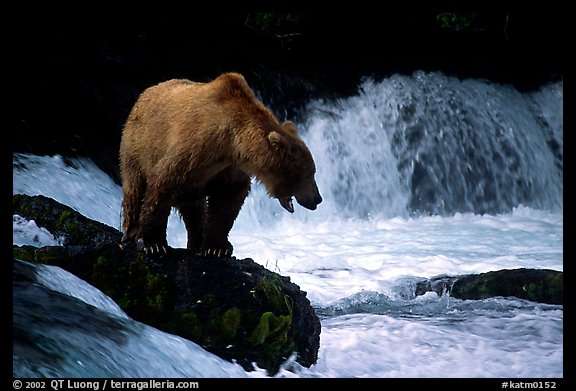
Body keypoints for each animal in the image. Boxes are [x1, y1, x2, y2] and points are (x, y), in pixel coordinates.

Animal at [118, 73, 322, 258]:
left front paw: (217, 247)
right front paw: (153, 244)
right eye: (310, 173)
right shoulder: (192, 149)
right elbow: (162, 185)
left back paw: (196, 240)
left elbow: (227, 202)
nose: (318, 198)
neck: (230, 144)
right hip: (136, 146)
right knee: (135, 190)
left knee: (194, 207)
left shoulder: (230, 169)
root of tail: (147, 91)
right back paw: (129, 235)